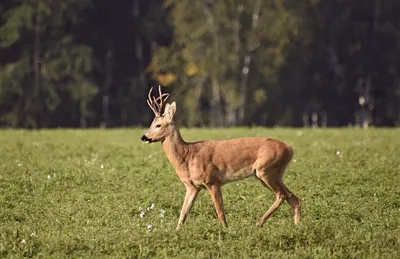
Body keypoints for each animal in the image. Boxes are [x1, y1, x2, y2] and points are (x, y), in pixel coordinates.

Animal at [141, 86, 300, 231]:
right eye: (151, 124)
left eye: (158, 125)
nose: (144, 137)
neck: (187, 156)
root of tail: (290, 148)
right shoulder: (192, 186)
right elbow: (183, 213)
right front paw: (176, 232)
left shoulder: (213, 181)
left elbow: (220, 211)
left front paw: (226, 231)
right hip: (272, 173)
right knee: (294, 198)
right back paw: (298, 227)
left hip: (265, 169)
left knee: (283, 195)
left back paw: (259, 222)